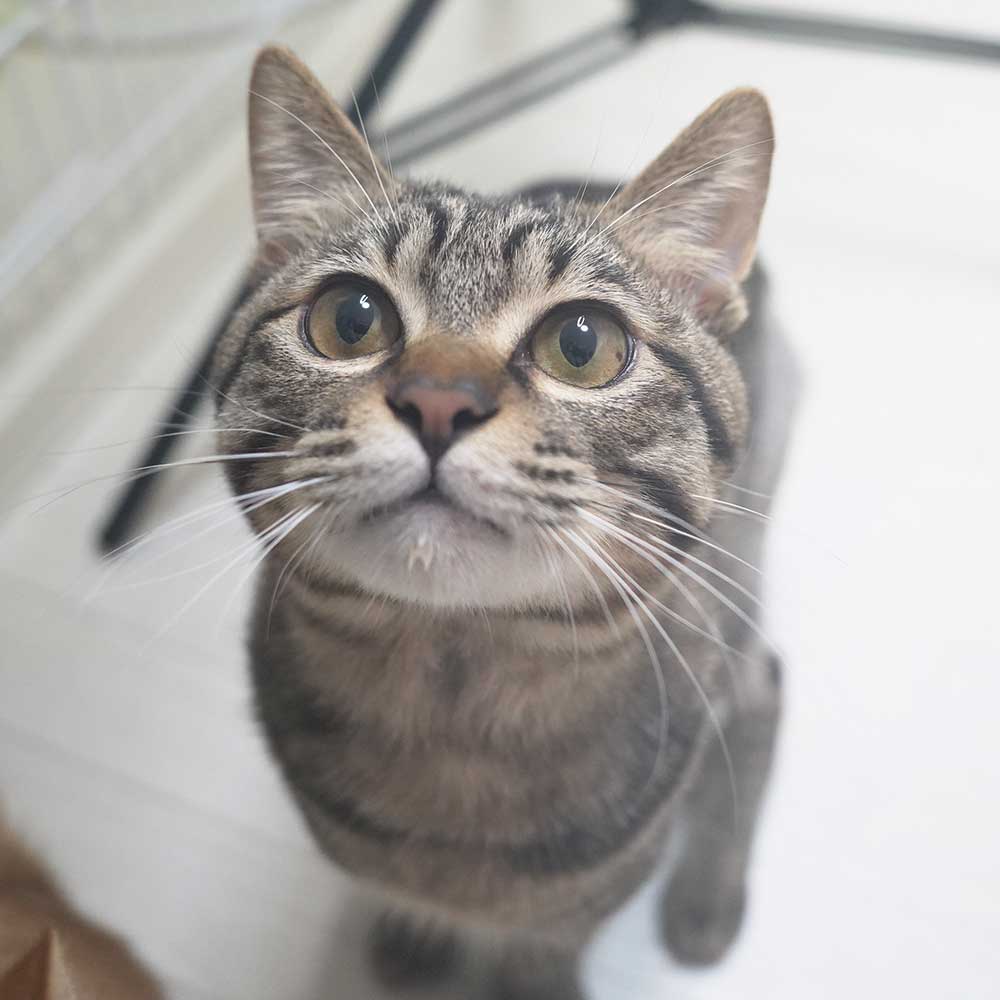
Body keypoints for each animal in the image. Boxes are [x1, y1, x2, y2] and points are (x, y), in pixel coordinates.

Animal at [210, 44, 794, 999]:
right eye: (349, 319)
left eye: (582, 344)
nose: (439, 401)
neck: (452, 702)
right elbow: (404, 897)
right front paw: (416, 935)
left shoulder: (592, 891)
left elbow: (543, 947)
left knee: (763, 693)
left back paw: (707, 898)